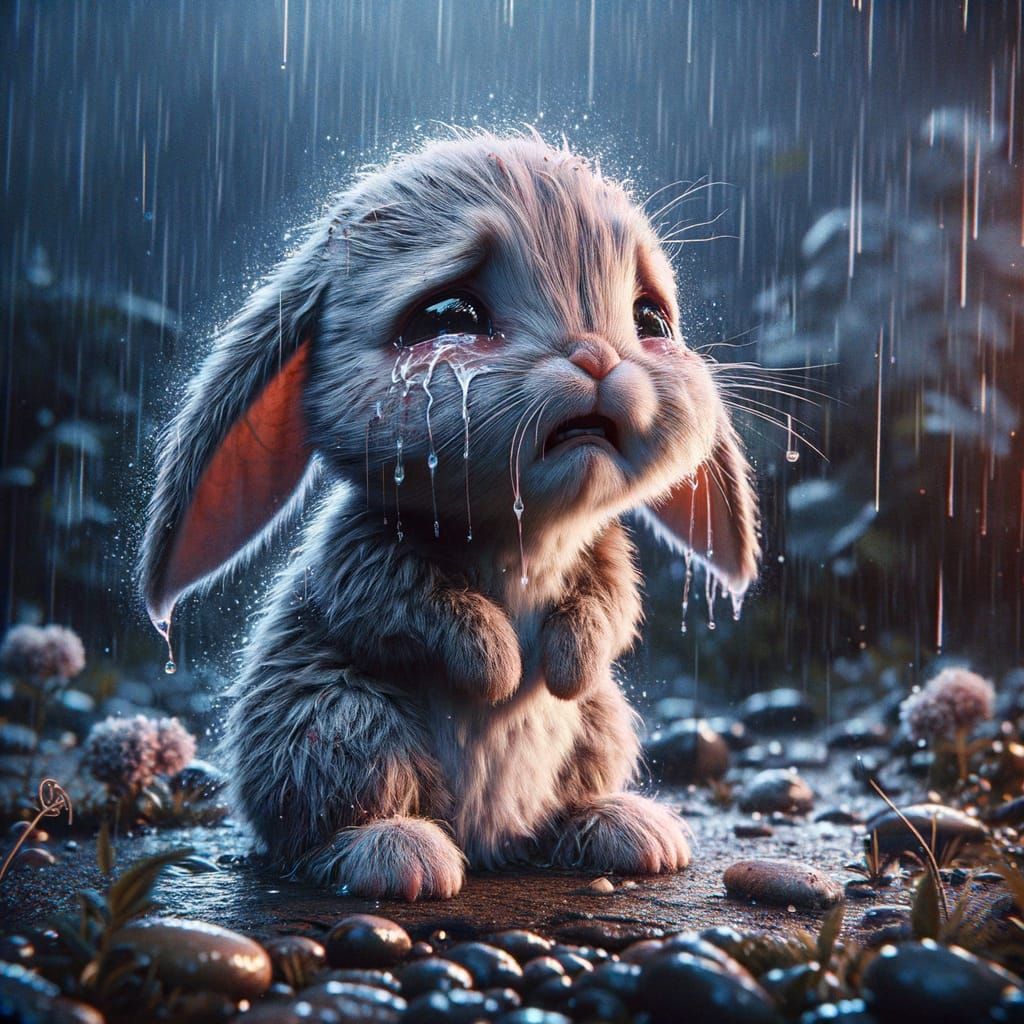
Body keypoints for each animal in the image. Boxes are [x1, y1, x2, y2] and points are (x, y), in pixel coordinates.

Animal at [139, 130, 759, 900]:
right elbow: (412, 604)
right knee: (334, 819)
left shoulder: (601, 557)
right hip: (339, 723)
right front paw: (501, 672)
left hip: (601, 725)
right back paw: (396, 855)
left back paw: (624, 830)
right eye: (451, 317)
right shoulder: (367, 554)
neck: (527, 530)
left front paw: (562, 668)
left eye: (651, 321)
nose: (596, 356)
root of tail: (489, 840)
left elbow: (610, 605)